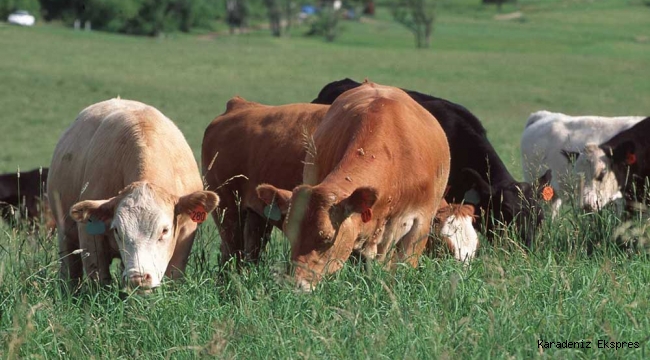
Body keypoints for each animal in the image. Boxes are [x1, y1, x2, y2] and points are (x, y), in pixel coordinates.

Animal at [48, 100, 219, 292]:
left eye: (165, 230)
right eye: (116, 230)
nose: (138, 278)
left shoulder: (185, 235)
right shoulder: (89, 237)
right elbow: (99, 281)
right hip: (65, 234)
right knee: (70, 270)